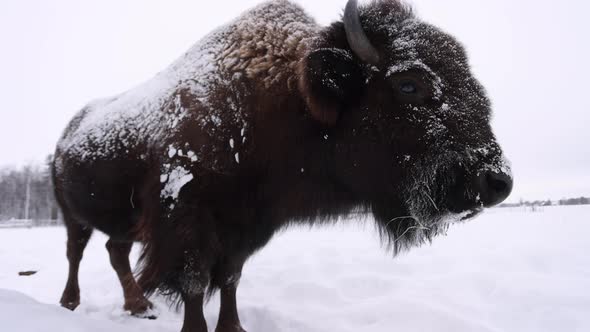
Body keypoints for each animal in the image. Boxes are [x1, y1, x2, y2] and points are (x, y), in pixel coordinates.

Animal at [53, 0, 512, 332]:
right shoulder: (186, 220)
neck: (283, 101)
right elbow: (196, 283)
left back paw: (139, 306)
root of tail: (66, 135)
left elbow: (231, 279)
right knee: (76, 253)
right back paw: (70, 303)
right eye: (409, 84)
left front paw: (234, 329)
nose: (497, 181)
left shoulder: (248, 227)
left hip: (120, 221)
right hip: (71, 214)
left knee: (116, 252)